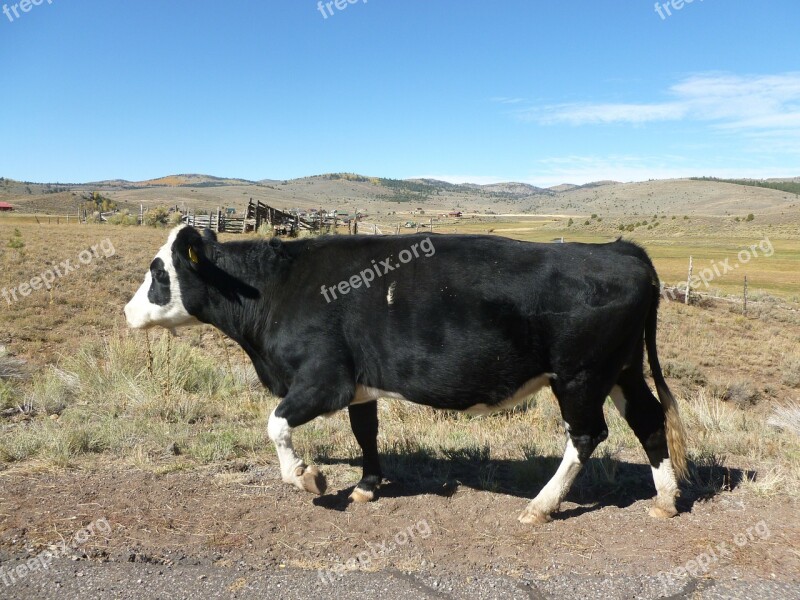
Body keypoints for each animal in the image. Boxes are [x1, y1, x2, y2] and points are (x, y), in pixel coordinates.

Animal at [125, 226, 688, 524]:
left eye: (158, 271)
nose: (128, 312)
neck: (278, 287)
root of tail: (618, 248)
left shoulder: (323, 379)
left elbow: (276, 424)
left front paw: (307, 476)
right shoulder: (358, 384)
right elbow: (366, 432)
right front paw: (366, 485)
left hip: (579, 377)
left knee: (588, 435)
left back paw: (540, 506)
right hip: (622, 370)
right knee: (648, 420)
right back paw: (665, 500)